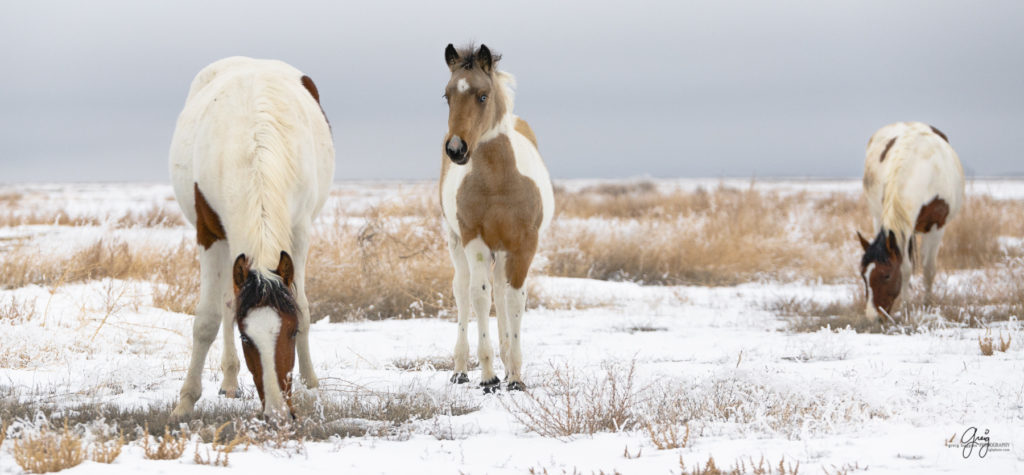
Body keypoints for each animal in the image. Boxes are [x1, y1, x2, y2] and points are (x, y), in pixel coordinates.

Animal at [165, 56, 329, 419]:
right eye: (245, 339)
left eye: (291, 331)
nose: (278, 414)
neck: (255, 147)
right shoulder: (209, 234)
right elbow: (208, 319)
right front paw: (185, 401)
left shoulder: (299, 232)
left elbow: (303, 305)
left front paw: (311, 383)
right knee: (227, 304)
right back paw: (228, 382)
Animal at [438, 45, 552, 393]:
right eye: (447, 95)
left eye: (483, 95)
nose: (456, 149)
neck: (499, 181)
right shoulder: (474, 240)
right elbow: (479, 294)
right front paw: (488, 376)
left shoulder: (524, 245)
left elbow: (514, 300)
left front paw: (514, 376)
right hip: (455, 242)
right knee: (463, 291)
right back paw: (461, 370)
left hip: (503, 251)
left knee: (502, 293)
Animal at [860, 122, 962, 323]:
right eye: (863, 277)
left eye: (886, 275)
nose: (873, 317)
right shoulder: (899, 226)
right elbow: (905, 268)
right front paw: (906, 307)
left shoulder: (937, 226)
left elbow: (928, 269)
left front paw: (926, 306)